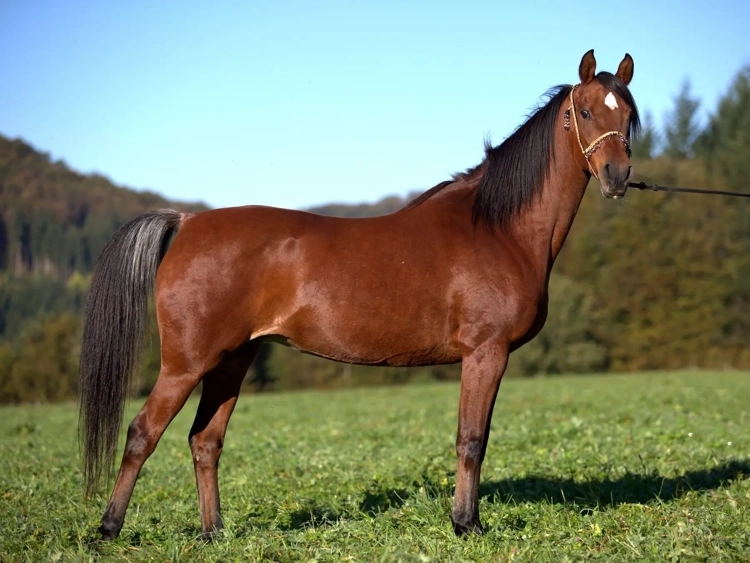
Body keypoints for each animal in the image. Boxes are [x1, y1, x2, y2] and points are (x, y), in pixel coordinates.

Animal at [78, 49, 639, 539]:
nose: (617, 176)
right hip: (186, 364)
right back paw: (108, 529)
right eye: (585, 111)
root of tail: (188, 222)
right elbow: (471, 441)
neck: (497, 229)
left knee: (205, 441)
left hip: (232, 360)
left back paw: (213, 533)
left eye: (630, 115)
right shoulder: (486, 352)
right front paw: (467, 525)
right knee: (142, 434)